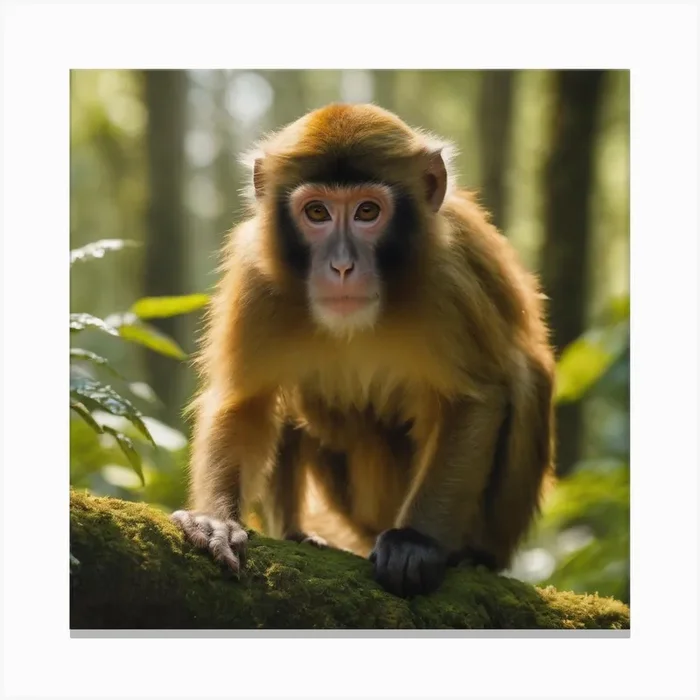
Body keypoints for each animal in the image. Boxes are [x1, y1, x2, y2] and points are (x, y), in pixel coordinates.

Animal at [171, 103, 555, 598]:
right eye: (316, 212)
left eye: (367, 211)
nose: (341, 266)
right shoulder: (255, 277)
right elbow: (245, 402)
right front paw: (217, 520)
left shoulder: (447, 277)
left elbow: (476, 399)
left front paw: (415, 542)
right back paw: (297, 532)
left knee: (526, 373)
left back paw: (475, 555)